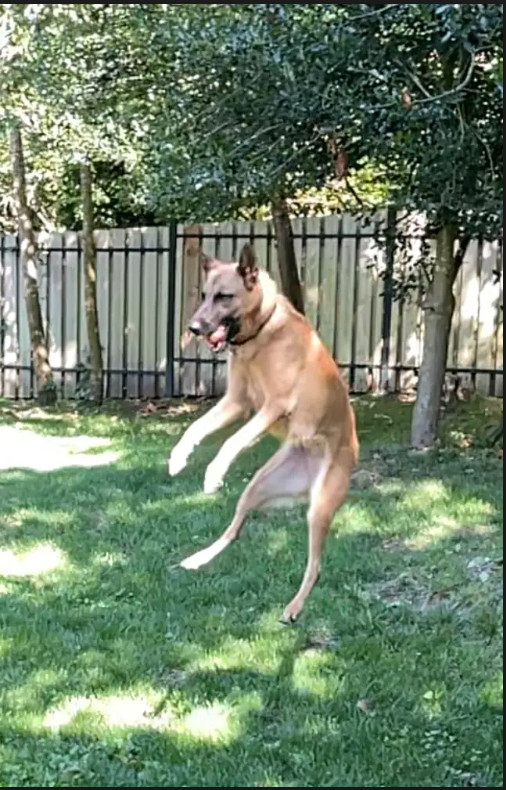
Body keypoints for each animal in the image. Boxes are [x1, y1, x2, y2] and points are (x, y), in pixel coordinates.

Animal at [170, 244, 360, 620]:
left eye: (224, 296)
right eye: (204, 295)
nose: (193, 327)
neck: (261, 334)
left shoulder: (272, 405)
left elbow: (232, 440)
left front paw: (213, 471)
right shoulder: (236, 402)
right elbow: (195, 427)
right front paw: (178, 458)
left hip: (319, 508)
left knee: (315, 566)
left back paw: (295, 606)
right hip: (258, 486)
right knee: (235, 529)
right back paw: (199, 558)